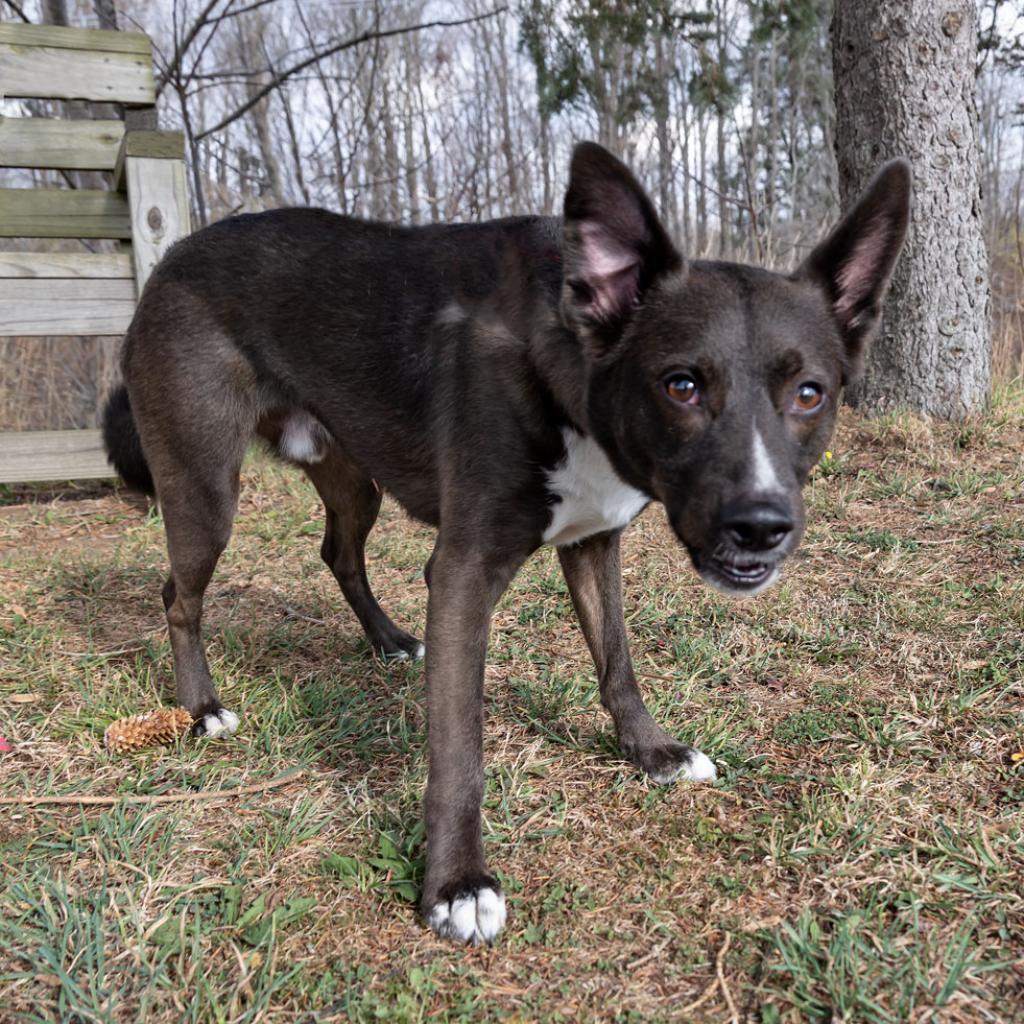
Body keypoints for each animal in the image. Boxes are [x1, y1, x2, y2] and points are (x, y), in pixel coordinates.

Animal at [99, 142, 909, 942]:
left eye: (810, 393)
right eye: (680, 384)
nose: (762, 527)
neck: (569, 356)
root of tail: (170, 258)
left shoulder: (595, 541)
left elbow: (617, 662)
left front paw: (651, 752)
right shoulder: (464, 571)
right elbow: (459, 745)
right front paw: (457, 884)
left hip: (353, 475)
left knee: (339, 553)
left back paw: (389, 640)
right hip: (206, 487)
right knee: (178, 595)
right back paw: (202, 707)